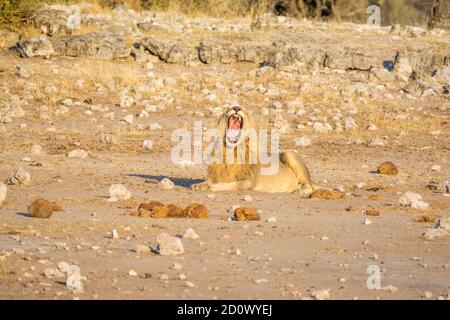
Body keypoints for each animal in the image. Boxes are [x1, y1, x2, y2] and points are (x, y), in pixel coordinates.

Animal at [190, 105, 320, 196]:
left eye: (243, 110)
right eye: (229, 108)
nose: (236, 108)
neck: (232, 151)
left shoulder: (247, 182)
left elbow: (229, 185)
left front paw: (212, 187)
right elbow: (209, 180)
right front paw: (199, 185)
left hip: (289, 154)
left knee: (309, 186)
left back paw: (299, 190)